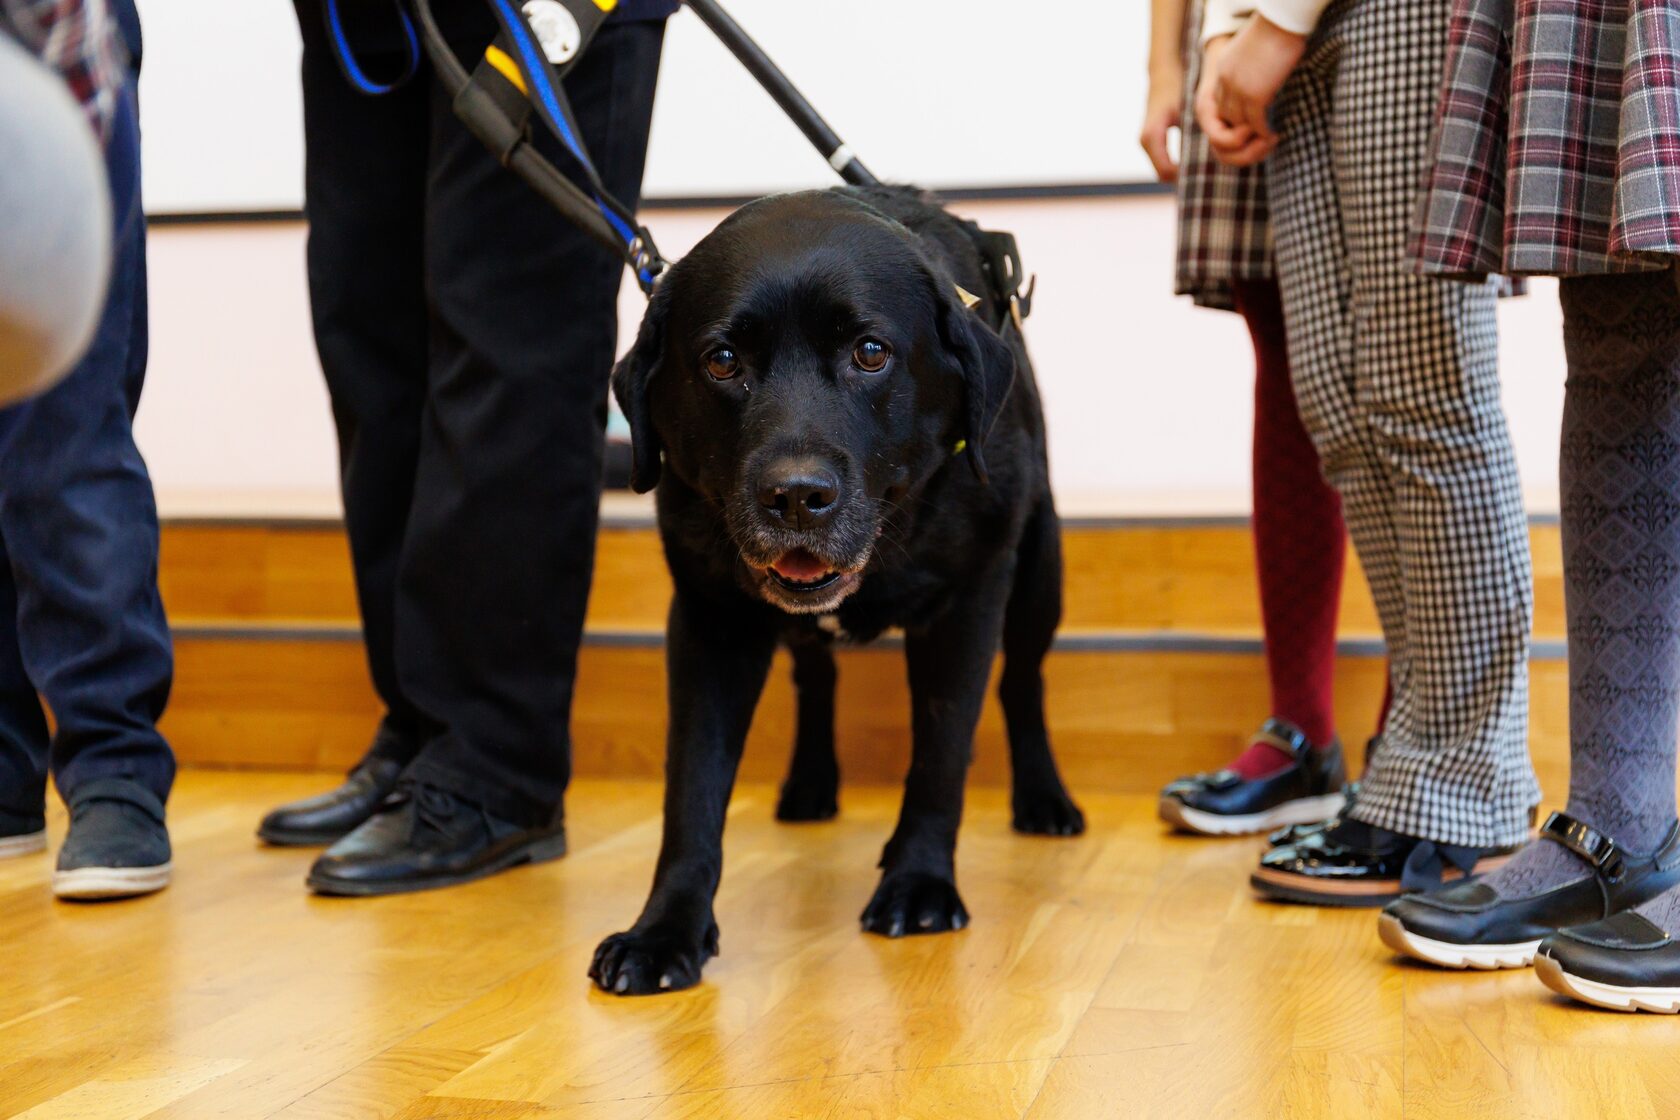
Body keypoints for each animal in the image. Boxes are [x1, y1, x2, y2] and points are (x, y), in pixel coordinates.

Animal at [594, 186, 1088, 1000]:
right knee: (814, 673)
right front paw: (664, 931)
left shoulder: (970, 599)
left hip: (1038, 571)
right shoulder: (708, 617)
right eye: (722, 361)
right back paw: (810, 782)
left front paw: (919, 885)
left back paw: (1043, 799)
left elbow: (941, 754)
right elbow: (692, 785)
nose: (795, 496)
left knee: (1023, 680)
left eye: (870, 353)